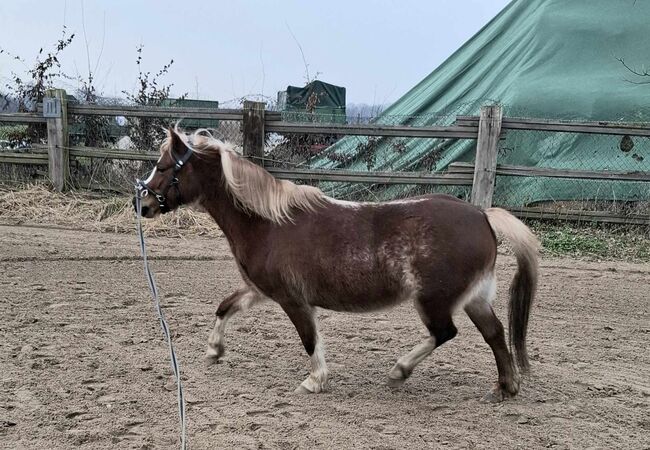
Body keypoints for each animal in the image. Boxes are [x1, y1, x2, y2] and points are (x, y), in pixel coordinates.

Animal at [134, 128, 540, 402]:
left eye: (164, 166)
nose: (143, 205)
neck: (269, 223)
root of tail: (482, 215)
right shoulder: (261, 290)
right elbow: (225, 307)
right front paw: (214, 350)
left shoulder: (292, 299)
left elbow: (309, 337)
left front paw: (315, 380)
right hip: (475, 298)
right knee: (495, 333)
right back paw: (506, 387)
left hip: (434, 300)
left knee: (445, 333)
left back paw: (400, 370)